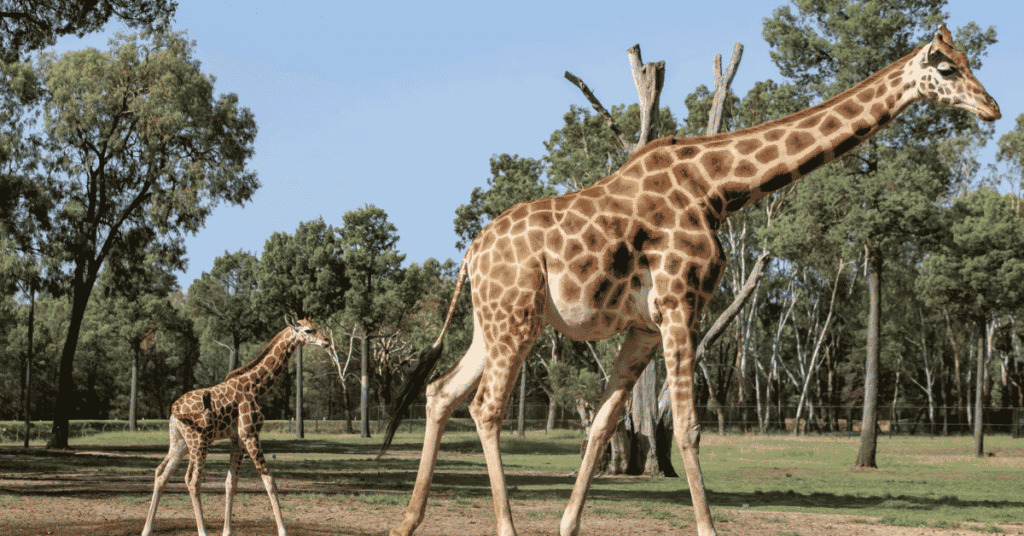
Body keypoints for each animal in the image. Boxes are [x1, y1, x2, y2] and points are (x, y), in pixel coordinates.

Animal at [141, 317, 329, 536]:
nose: (326, 341)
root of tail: (173, 410)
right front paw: (283, 530)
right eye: (308, 330)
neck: (256, 386)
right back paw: (202, 531)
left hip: (179, 442)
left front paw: (227, 531)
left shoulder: (237, 440)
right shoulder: (250, 434)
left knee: (161, 473)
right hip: (200, 442)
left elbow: (231, 483)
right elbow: (269, 480)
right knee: (192, 480)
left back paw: (147, 529)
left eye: (316, 327)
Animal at [379, 25, 999, 536]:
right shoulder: (681, 304)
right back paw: (501, 526)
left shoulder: (644, 326)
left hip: (495, 319)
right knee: (485, 407)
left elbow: (604, 422)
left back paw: (408, 520)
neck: (720, 187)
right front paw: (707, 527)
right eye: (947, 69)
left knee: (440, 392)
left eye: (971, 61)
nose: (992, 107)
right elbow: (687, 427)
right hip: (515, 318)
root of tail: (469, 254)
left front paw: (568, 524)